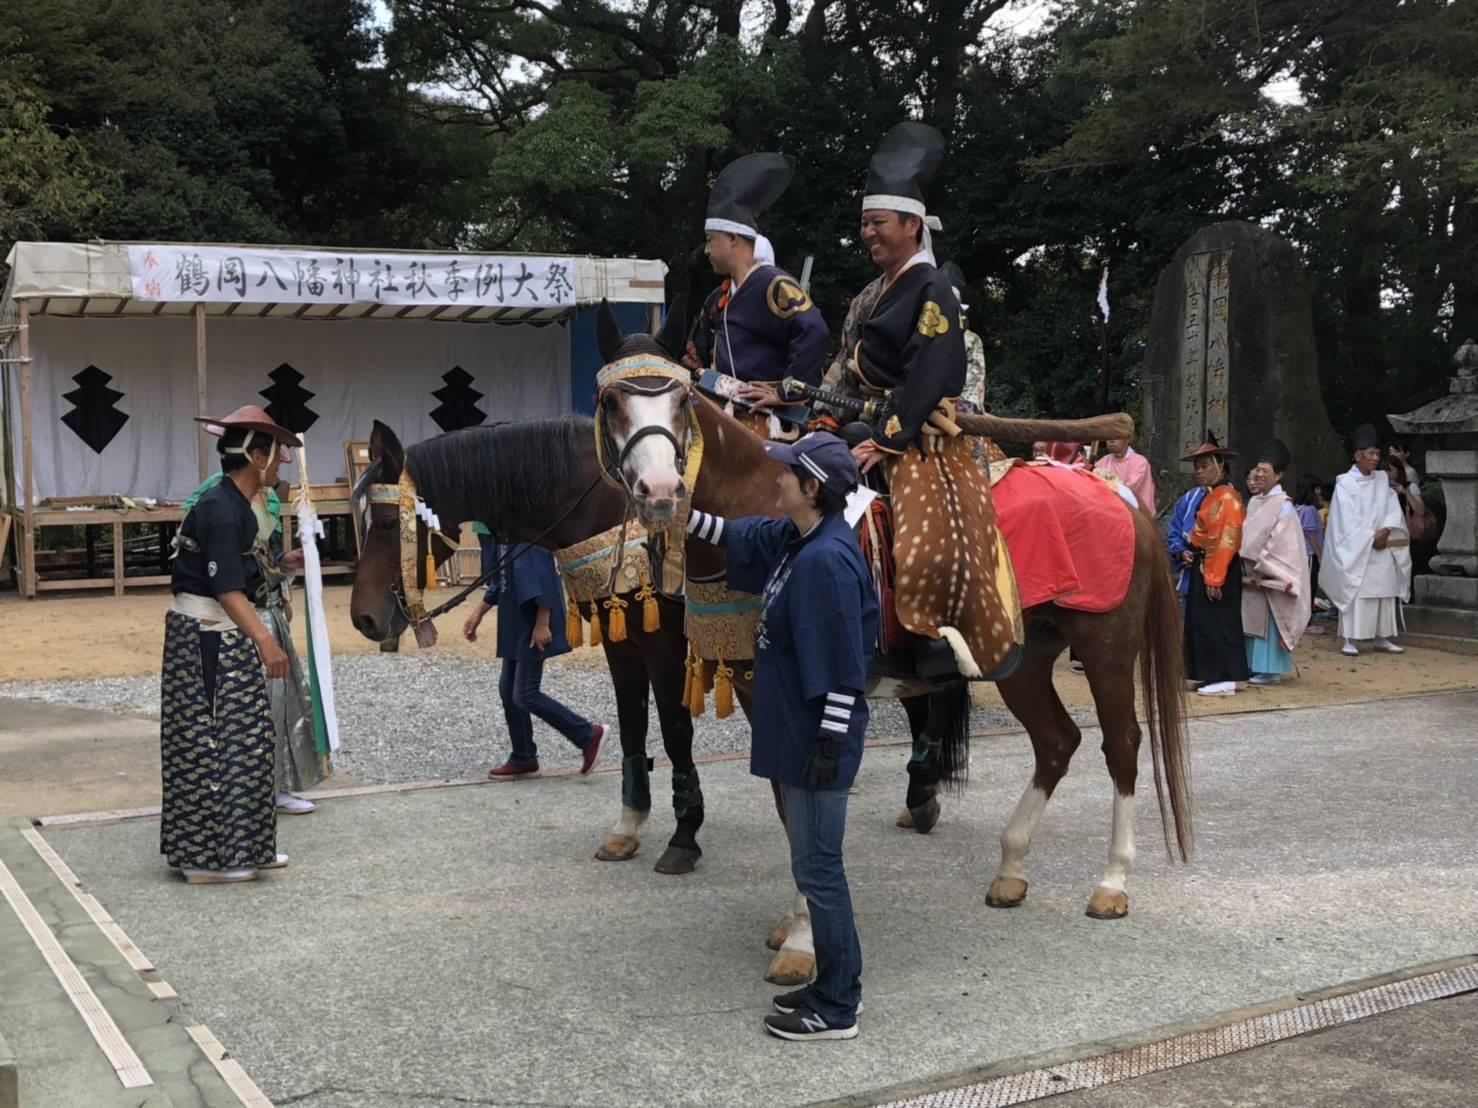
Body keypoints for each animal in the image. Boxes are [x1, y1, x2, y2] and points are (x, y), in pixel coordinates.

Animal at [347, 416, 708, 875]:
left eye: (389, 523)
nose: (364, 618)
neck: (609, 507)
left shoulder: (661, 643)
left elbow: (675, 730)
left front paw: (684, 836)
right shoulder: (622, 641)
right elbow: (632, 725)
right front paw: (627, 828)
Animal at [591, 306, 1193, 931]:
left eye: (680, 399)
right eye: (611, 401)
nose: (661, 492)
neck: (762, 508)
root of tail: (1118, 494)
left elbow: (798, 799)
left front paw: (803, 927)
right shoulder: (759, 685)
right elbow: (786, 802)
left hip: (1105, 645)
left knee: (1121, 743)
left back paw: (1112, 880)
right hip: (1021, 656)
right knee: (1057, 741)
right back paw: (1011, 867)